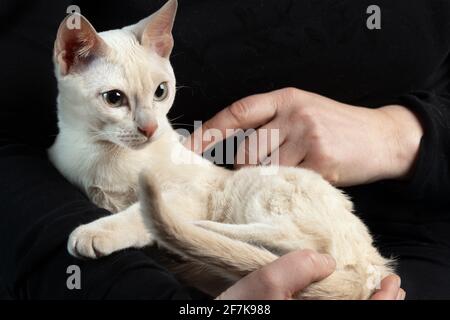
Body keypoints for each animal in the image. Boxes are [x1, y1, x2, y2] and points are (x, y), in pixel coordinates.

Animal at [48, 0, 394, 300]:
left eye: (161, 92)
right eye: (114, 98)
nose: (149, 128)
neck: (102, 154)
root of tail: (373, 270)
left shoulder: (192, 190)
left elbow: (134, 215)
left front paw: (98, 232)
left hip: (257, 188)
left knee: (304, 240)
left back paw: (202, 229)